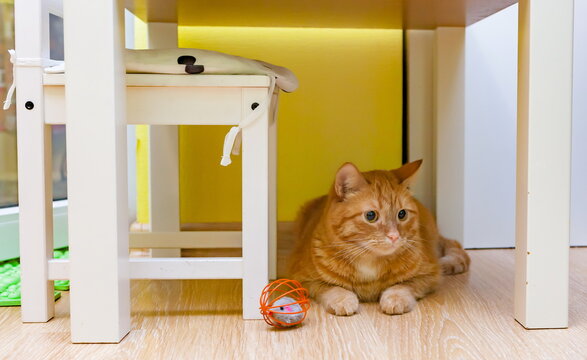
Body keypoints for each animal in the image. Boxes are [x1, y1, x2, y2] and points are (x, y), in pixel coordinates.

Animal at [288, 160, 470, 316]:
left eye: (402, 214)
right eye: (370, 216)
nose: (394, 236)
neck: (369, 261)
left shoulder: (429, 275)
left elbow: (404, 286)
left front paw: (395, 298)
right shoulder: (303, 279)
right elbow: (332, 288)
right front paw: (342, 299)